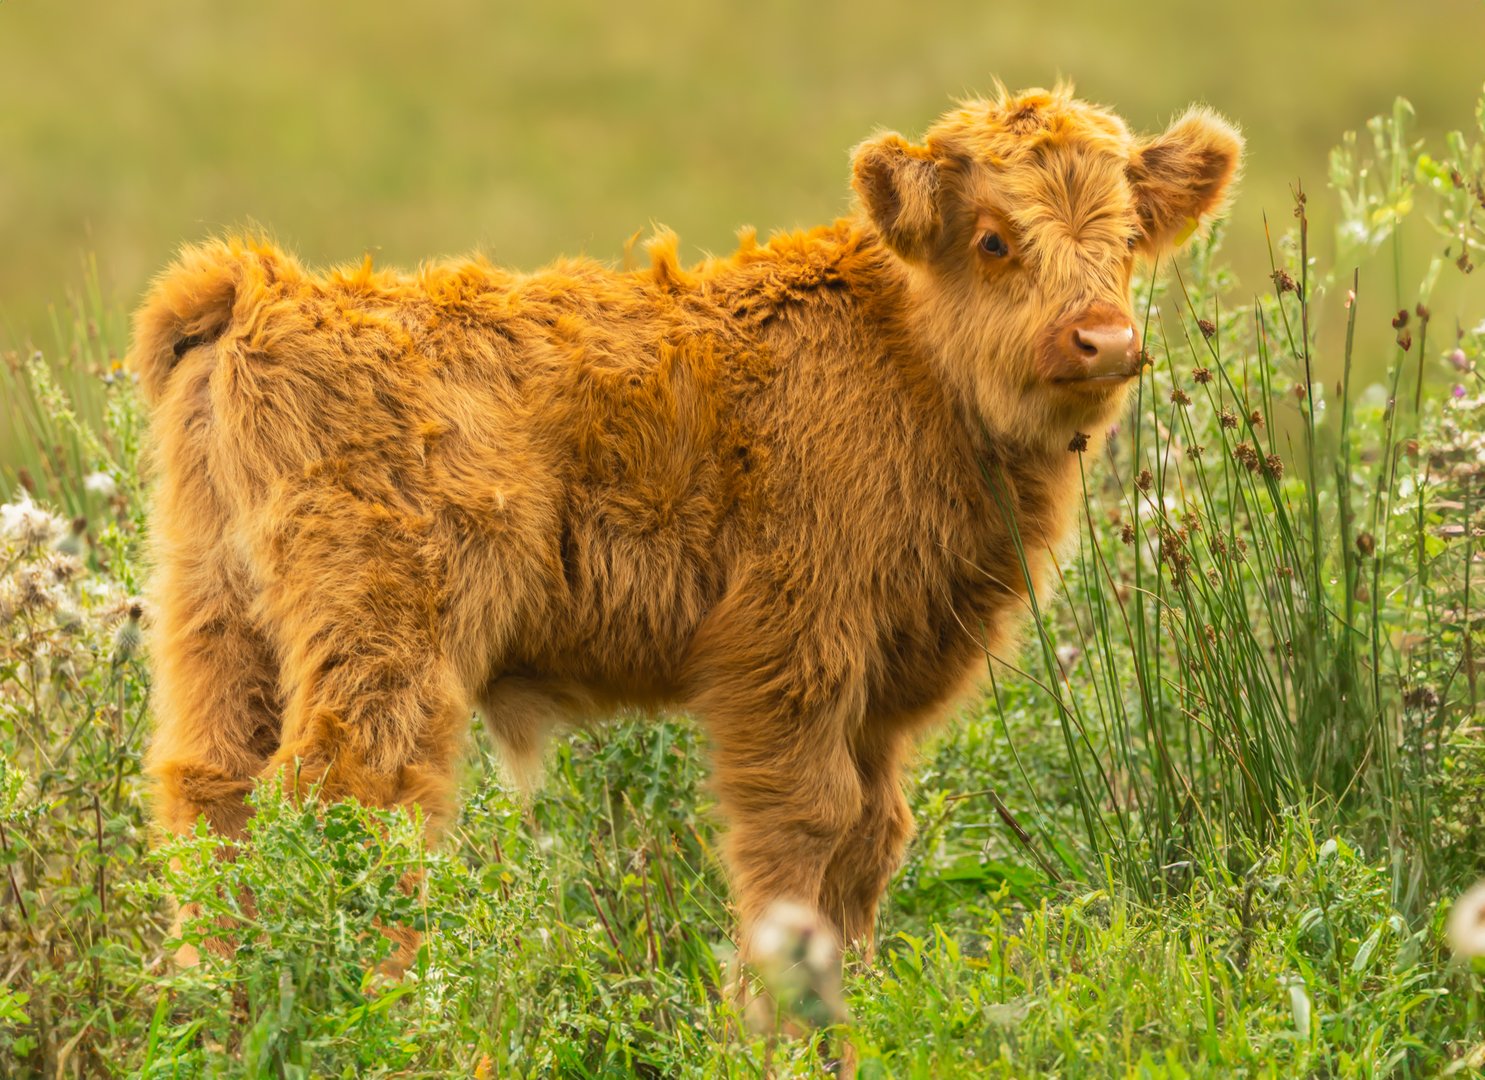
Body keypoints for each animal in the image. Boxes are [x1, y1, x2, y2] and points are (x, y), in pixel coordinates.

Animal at [131, 83, 1240, 1010]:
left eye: (1129, 235)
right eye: (995, 239)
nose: (1102, 338)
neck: (903, 356)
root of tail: (270, 295)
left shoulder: (881, 689)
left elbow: (869, 843)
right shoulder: (786, 661)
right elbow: (799, 836)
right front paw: (774, 1029)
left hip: (218, 621)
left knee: (211, 796)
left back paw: (216, 1016)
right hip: (389, 644)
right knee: (355, 800)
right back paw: (382, 1021)